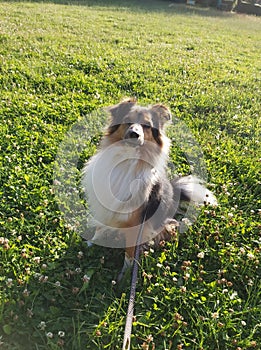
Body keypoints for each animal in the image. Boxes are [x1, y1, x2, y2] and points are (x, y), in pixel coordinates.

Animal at [80, 98, 215, 276]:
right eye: (127, 121)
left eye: (147, 125)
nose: (134, 134)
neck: (127, 161)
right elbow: (100, 227)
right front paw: (91, 243)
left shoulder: (136, 224)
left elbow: (129, 254)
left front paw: (124, 275)